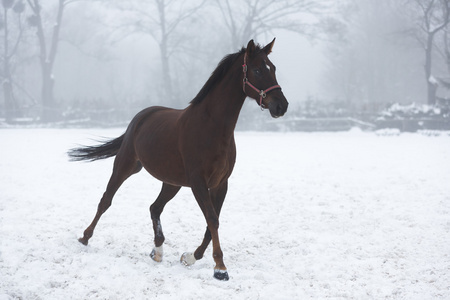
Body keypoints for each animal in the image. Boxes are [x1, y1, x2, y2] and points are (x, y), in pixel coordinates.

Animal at [69, 38, 290, 280]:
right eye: (257, 70)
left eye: (273, 68)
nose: (281, 106)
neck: (212, 127)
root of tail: (140, 117)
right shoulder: (198, 183)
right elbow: (212, 219)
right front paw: (220, 268)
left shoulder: (221, 184)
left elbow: (211, 224)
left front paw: (191, 257)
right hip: (125, 166)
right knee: (106, 200)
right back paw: (85, 237)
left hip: (171, 182)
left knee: (154, 208)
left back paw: (157, 250)